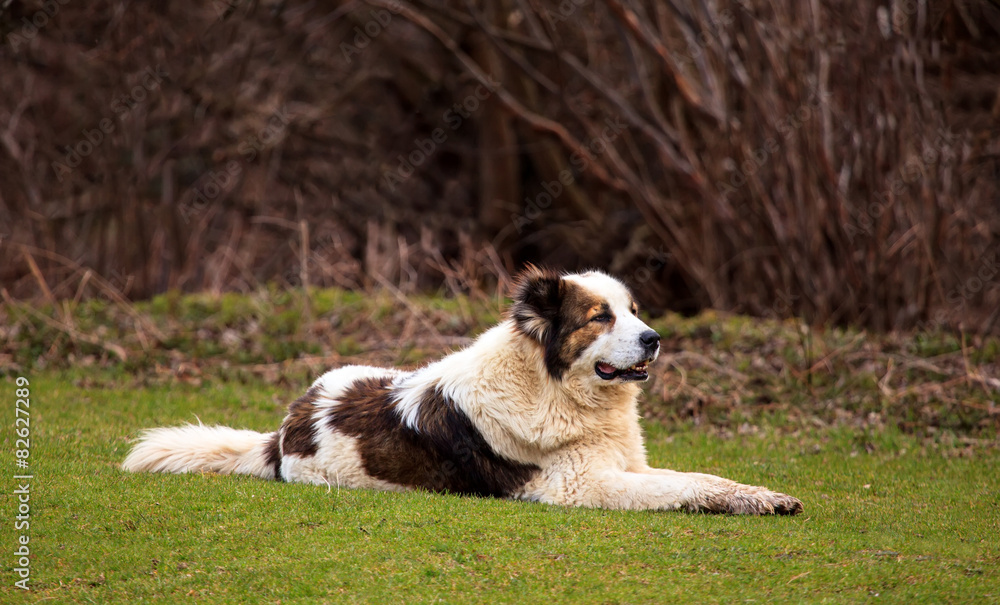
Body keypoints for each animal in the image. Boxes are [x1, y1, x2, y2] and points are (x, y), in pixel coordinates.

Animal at [121, 266, 800, 516]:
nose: (655, 338)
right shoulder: (583, 485)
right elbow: (683, 487)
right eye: (599, 317)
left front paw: (762, 495)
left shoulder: (625, 465)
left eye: (633, 311)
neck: (552, 389)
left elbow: (704, 476)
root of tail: (285, 429)